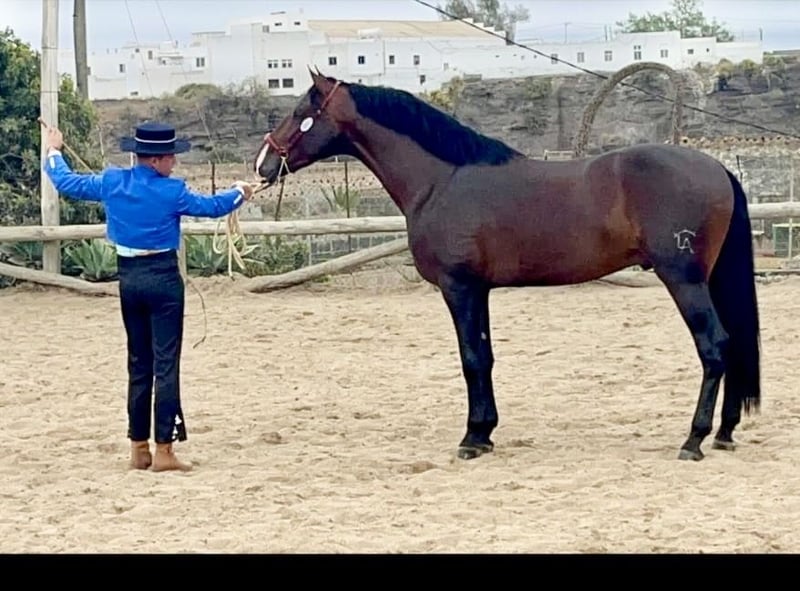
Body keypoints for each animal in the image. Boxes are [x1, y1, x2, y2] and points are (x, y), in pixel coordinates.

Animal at [253, 70, 761, 462]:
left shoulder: (458, 288)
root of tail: (717, 168)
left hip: (684, 279)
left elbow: (471, 359)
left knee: (714, 345)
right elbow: (487, 357)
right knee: (733, 343)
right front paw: (485, 433)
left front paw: (471, 438)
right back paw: (724, 432)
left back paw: (693, 439)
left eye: (301, 112)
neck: (442, 179)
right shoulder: (479, 290)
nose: (262, 164)